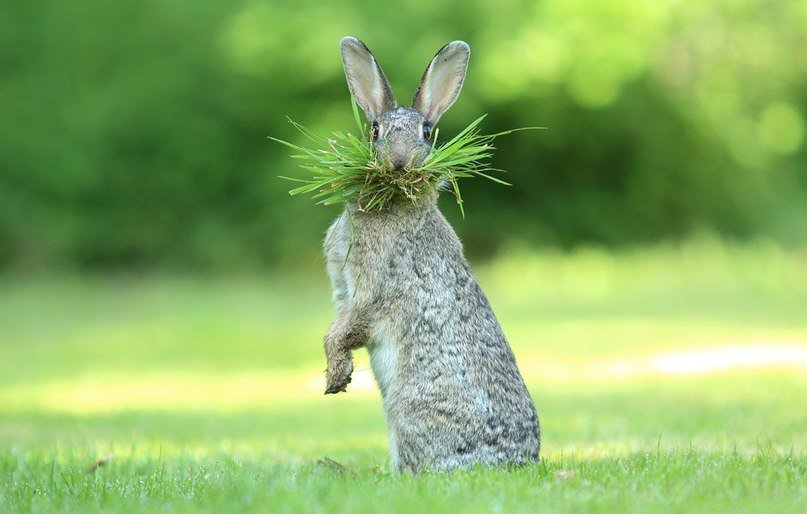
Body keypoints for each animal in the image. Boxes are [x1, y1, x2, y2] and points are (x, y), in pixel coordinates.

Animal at [322, 34, 544, 470]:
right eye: (375, 130)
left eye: (427, 132)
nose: (400, 161)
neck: (394, 204)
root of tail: (516, 462)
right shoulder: (344, 291)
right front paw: (339, 376)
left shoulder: (371, 291)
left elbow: (346, 329)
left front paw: (336, 377)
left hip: (407, 407)